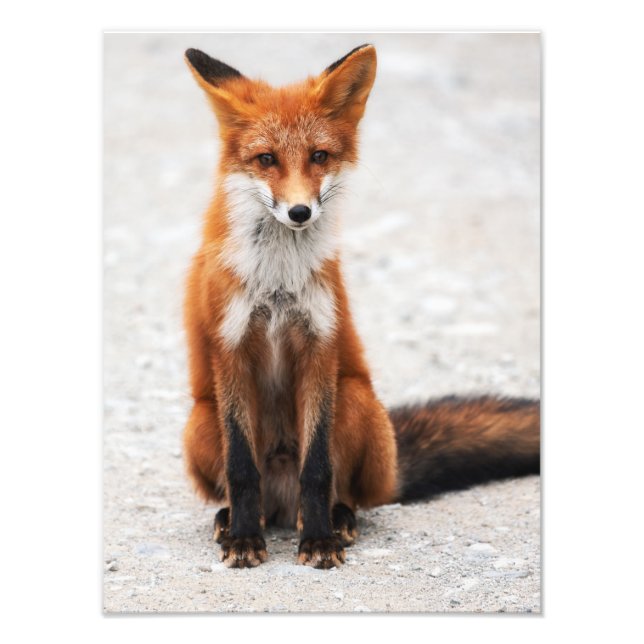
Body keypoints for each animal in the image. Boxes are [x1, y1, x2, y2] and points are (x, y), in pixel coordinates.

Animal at [182, 44, 540, 569]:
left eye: (319, 156)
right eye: (266, 159)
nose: (300, 212)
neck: (278, 283)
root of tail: (282, 505)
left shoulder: (320, 346)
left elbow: (318, 468)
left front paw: (319, 541)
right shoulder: (231, 348)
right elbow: (242, 469)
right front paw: (245, 538)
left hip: (355, 399)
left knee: (344, 490)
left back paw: (337, 518)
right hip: (199, 423)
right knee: (243, 485)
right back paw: (234, 519)